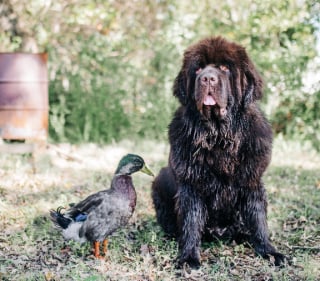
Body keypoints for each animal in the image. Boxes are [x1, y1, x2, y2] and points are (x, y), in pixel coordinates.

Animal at [151, 36, 286, 266]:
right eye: (198, 69)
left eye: (224, 67)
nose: (207, 78)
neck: (219, 136)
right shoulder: (191, 184)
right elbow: (191, 221)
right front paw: (188, 257)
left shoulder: (252, 181)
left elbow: (258, 219)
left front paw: (269, 251)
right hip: (159, 180)